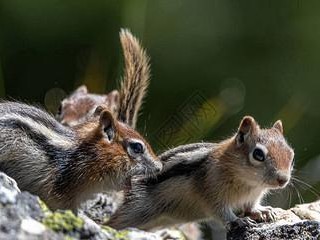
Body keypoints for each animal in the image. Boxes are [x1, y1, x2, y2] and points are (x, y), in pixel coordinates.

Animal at [108, 117, 296, 230]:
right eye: (258, 154)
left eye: (291, 155)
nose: (283, 180)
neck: (249, 183)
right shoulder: (210, 190)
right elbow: (221, 212)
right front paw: (238, 220)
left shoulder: (253, 196)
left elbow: (251, 206)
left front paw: (263, 211)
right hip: (135, 208)